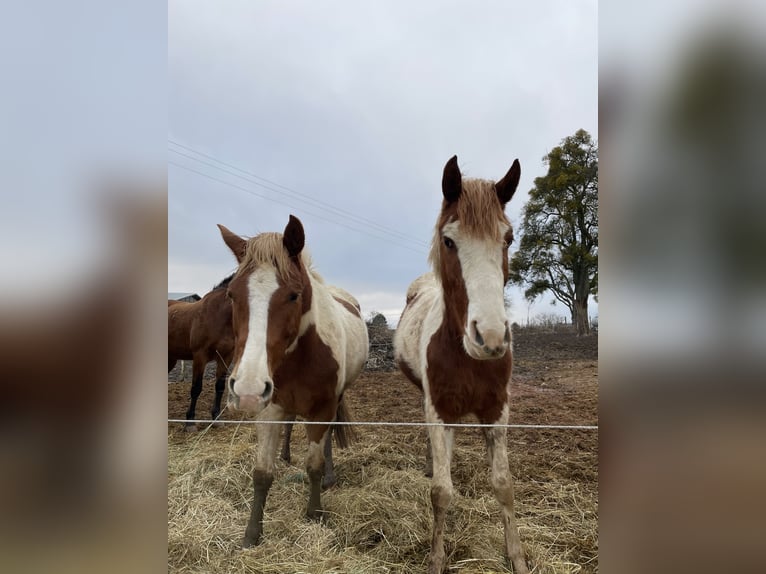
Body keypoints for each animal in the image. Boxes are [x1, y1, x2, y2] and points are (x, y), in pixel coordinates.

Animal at [164, 276, 231, 432]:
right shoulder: (200, 356)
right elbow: (196, 388)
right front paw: (190, 422)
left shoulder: (226, 357)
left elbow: (220, 387)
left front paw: (216, 418)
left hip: (171, 358)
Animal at [218, 216, 370, 548]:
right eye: (231, 294)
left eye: (293, 295)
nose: (247, 388)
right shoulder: (269, 407)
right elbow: (262, 472)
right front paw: (252, 534)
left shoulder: (322, 409)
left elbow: (313, 465)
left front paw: (314, 513)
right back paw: (286, 455)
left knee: (327, 439)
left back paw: (329, 476)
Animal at [392, 158, 532, 574]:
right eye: (449, 241)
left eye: (508, 238)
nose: (491, 337)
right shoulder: (440, 411)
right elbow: (441, 491)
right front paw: (436, 559)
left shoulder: (497, 411)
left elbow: (503, 485)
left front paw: (517, 557)